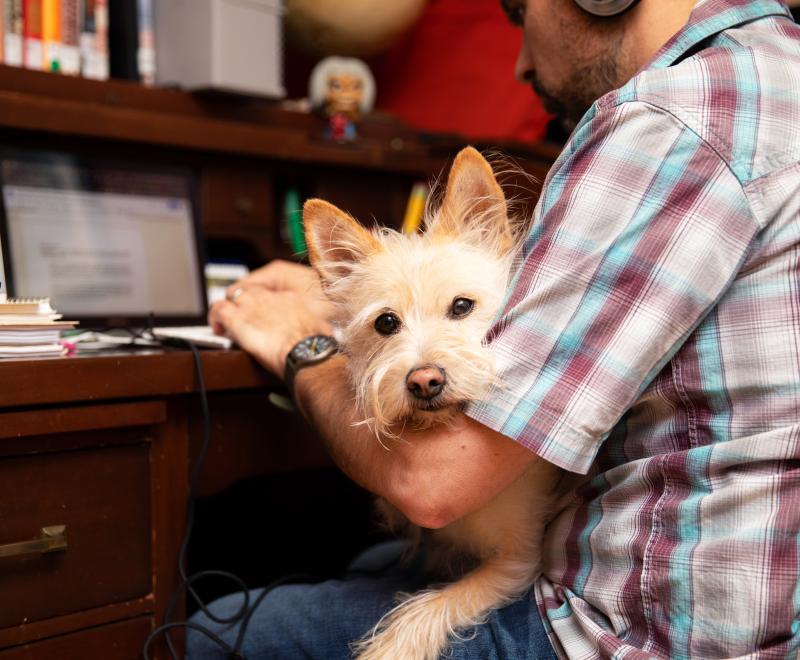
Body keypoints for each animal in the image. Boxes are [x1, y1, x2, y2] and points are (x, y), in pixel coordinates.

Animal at [304, 148, 560, 660]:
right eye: (386, 323)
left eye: (462, 307)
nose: (424, 381)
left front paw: (389, 648)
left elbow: (432, 606)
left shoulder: (518, 559)